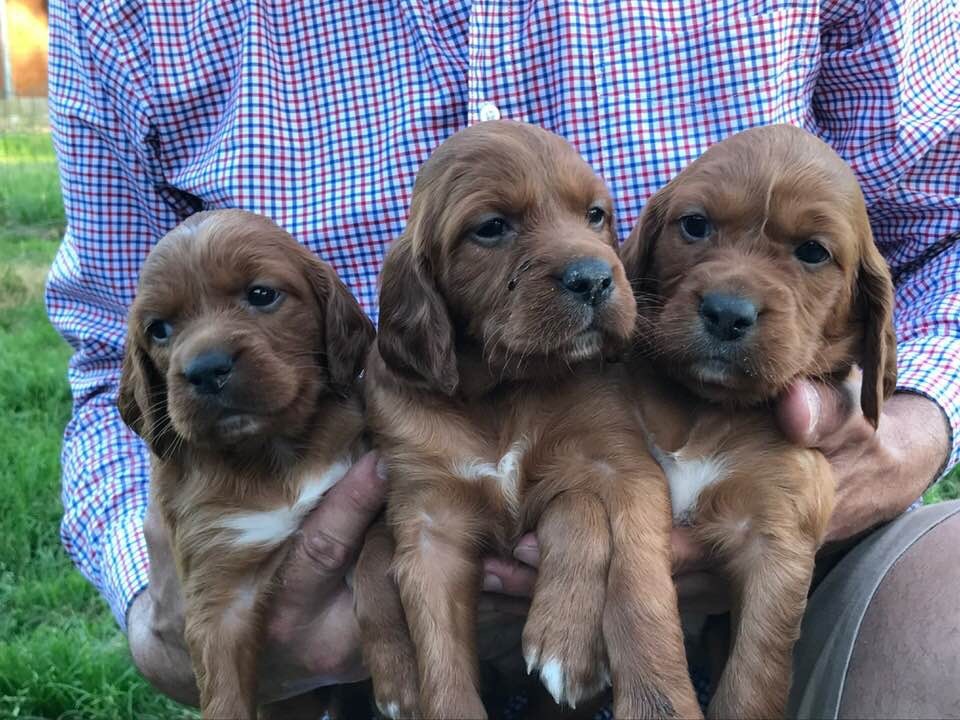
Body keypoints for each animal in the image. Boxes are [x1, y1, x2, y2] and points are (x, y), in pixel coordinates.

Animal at [116, 210, 376, 720]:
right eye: (159, 329)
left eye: (261, 295)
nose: (205, 369)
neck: (272, 456)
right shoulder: (220, 591)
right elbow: (225, 693)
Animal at [356, 121, 700, 720]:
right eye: (492, 227)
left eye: (595, 215)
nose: (595, 279)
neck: (501, 390)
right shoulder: (429, 525)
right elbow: (438, 653)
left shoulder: (622, 467)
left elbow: (633, 577)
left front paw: (653, 696)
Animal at [624, 125, 900, 720]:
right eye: (695, 225)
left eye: (813, 252)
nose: (728, 312)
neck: (709, 409)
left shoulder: (777, 534)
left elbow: (754, 675)